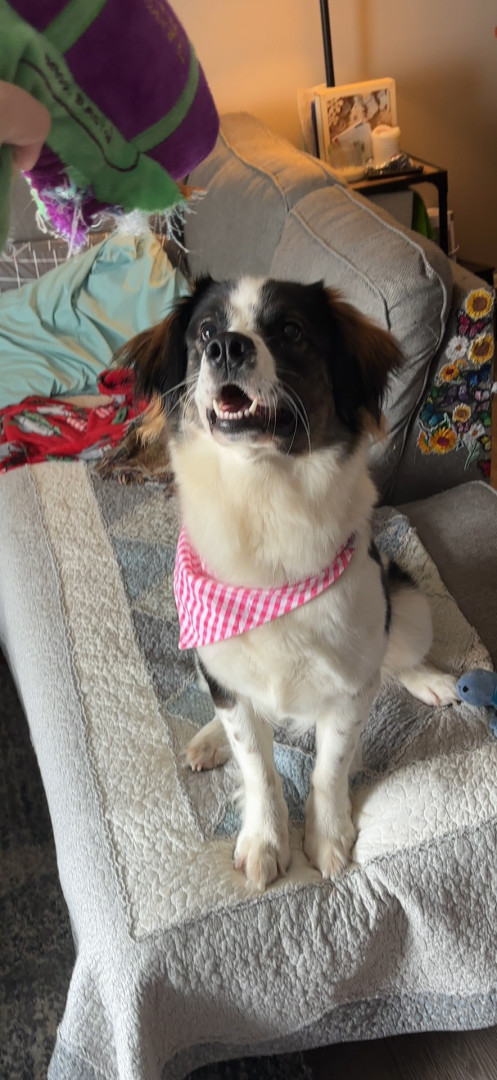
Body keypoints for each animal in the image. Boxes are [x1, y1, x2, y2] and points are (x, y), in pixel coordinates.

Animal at [116, 276, 459, 891]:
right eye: (205, 330)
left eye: (292, 331)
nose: (226, 347)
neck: (266, 501)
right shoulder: (221, 663)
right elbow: (257, 765)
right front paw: (266, 839)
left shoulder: (349, 686)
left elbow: (329, 767)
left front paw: (326, 837)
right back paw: (209, 739)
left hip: (408, 602)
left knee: (400, 656)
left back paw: (429, 679)